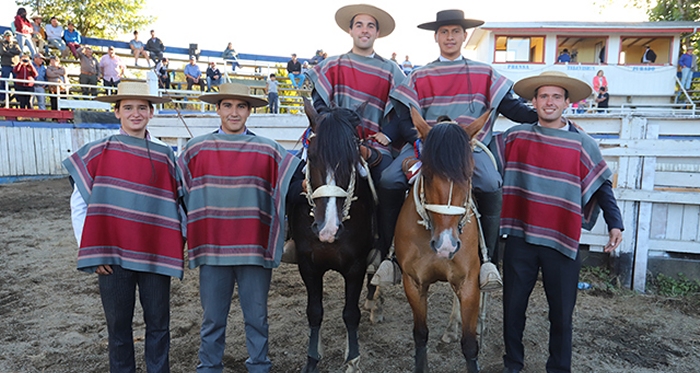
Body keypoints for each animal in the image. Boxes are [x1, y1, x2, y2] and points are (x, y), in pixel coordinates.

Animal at [290, 98, 378, 372]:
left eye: (352, 158)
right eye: (312, 156)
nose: (328, 229)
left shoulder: (356, 266)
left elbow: (350, 313)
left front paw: (353, 358)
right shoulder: (308, 265)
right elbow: (314, 311)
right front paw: (312, 358)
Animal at [396, 107, 490, 372]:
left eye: (468, 174)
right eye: (427, 174)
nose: (446, 245)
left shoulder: (468, 283)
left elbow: (469, 345)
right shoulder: (414, 283)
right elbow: (420, 335)